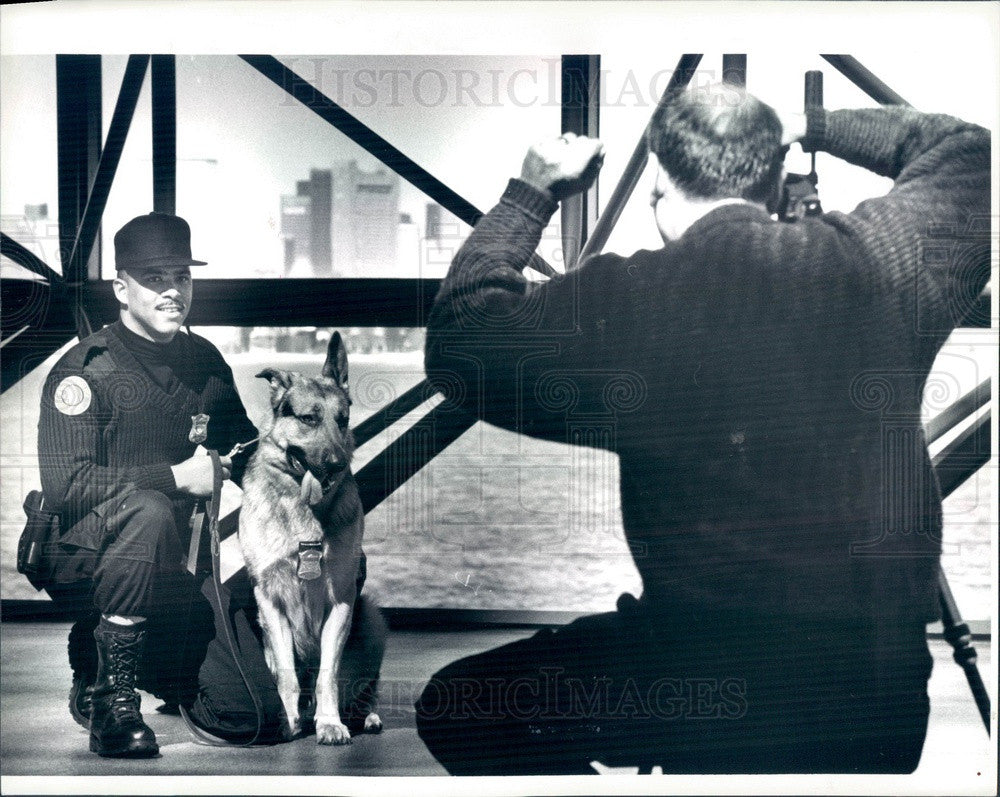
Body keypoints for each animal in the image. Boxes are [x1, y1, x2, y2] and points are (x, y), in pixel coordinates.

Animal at [240, 332, 384, 744]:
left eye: (342, 420)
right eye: (308, 419)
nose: (336, 464)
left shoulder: (342, 601)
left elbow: (328, 676)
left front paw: (330, 722)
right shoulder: (269, 601)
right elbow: (287, 675)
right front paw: (287, 720)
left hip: (372, 619)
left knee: (363, 687)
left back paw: (364, 716)